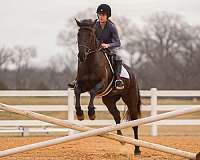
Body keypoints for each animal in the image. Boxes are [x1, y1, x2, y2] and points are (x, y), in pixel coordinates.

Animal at [74, 18, 141, 155]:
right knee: (116, 115)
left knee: (134, 122)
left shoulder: (102, 84)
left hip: (130, 99)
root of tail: (133, 74)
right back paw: (121, 139)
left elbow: (93, 92)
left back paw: (137, 149)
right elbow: (77, 91)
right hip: (109, 99)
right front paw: (79, 114)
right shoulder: (82, 85)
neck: (89, 63)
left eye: (90, 35)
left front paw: (91, 113)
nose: (81, 56)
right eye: (78, 34)